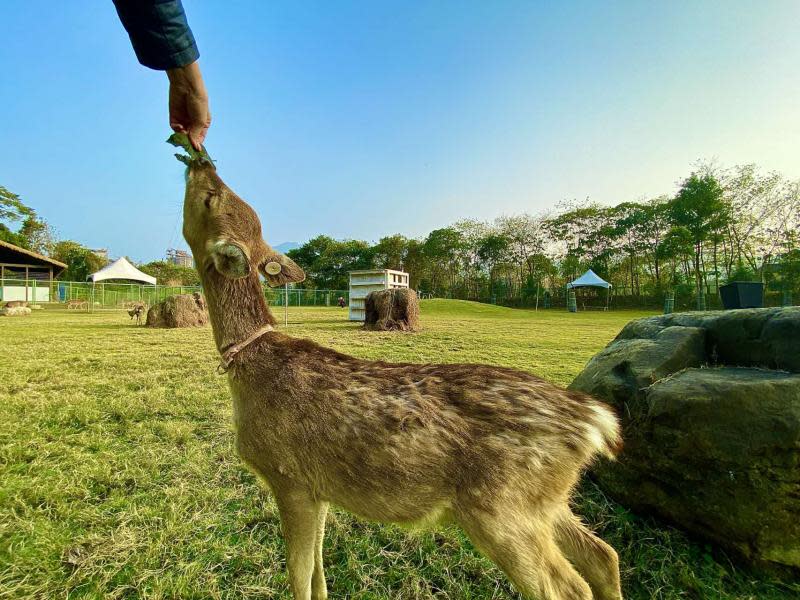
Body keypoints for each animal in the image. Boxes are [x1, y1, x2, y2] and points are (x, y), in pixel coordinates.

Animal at [180, 158, 624, 600]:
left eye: (211, 198)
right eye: (232, 199)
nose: (200, 163)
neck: (252, 370)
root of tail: (595, 422)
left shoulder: (288, 477)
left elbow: (299, 576)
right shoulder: (319, 488)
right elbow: (318, 575)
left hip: (502, 508)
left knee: (571, 586)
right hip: (547, 501)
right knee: (604, 555)